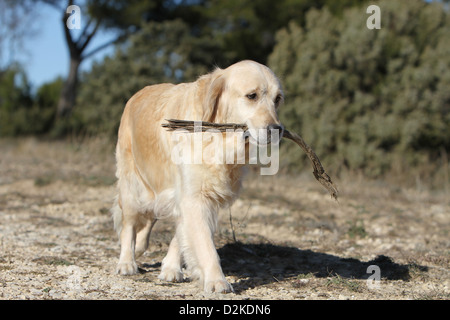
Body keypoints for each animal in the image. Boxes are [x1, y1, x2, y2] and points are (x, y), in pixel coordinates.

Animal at [111, 59, 284, 292]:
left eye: (277, 99)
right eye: (252, 96)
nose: (277, 129)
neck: (219, 140)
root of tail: (137, 93)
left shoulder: (197, 197)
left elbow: (183, 235)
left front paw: (171, 268)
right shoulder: (193, 197)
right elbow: (205, 244)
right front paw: (217, 280)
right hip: (132, 186)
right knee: (129, 225)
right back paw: (127, 262)